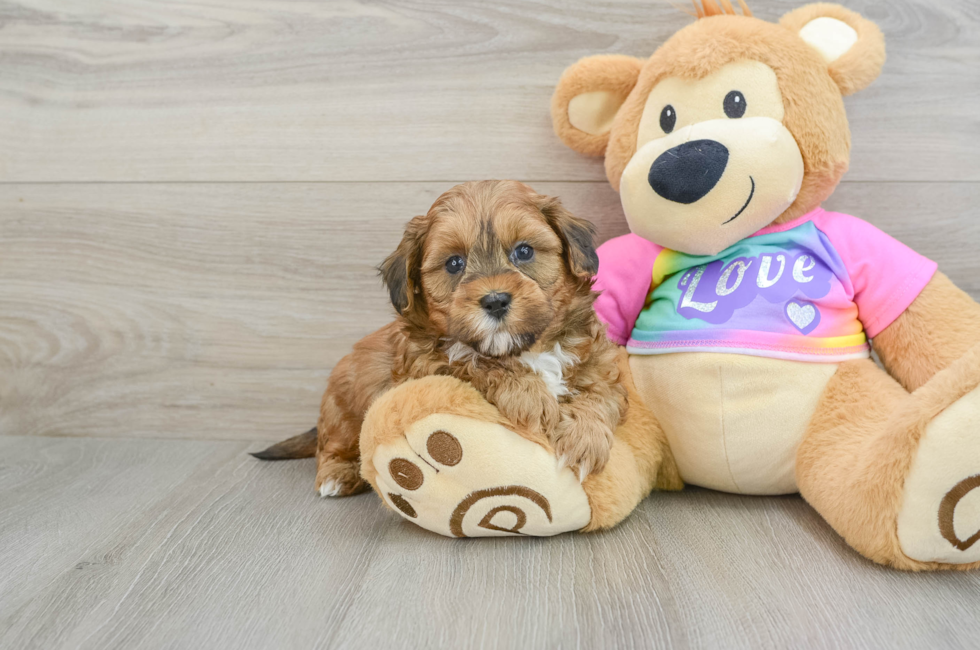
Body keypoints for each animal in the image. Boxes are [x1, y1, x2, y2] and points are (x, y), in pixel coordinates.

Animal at [249, 180, 624, 494]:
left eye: (525, 251)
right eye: (454, 263)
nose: (495, 300)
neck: (524, 350)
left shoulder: (599, 363)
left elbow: (600, 394)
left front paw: (584, 438)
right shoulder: (427, 365)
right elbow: (473, 361)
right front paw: (531, 397)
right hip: (343, 407)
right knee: (330, 447)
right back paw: (336, 476)